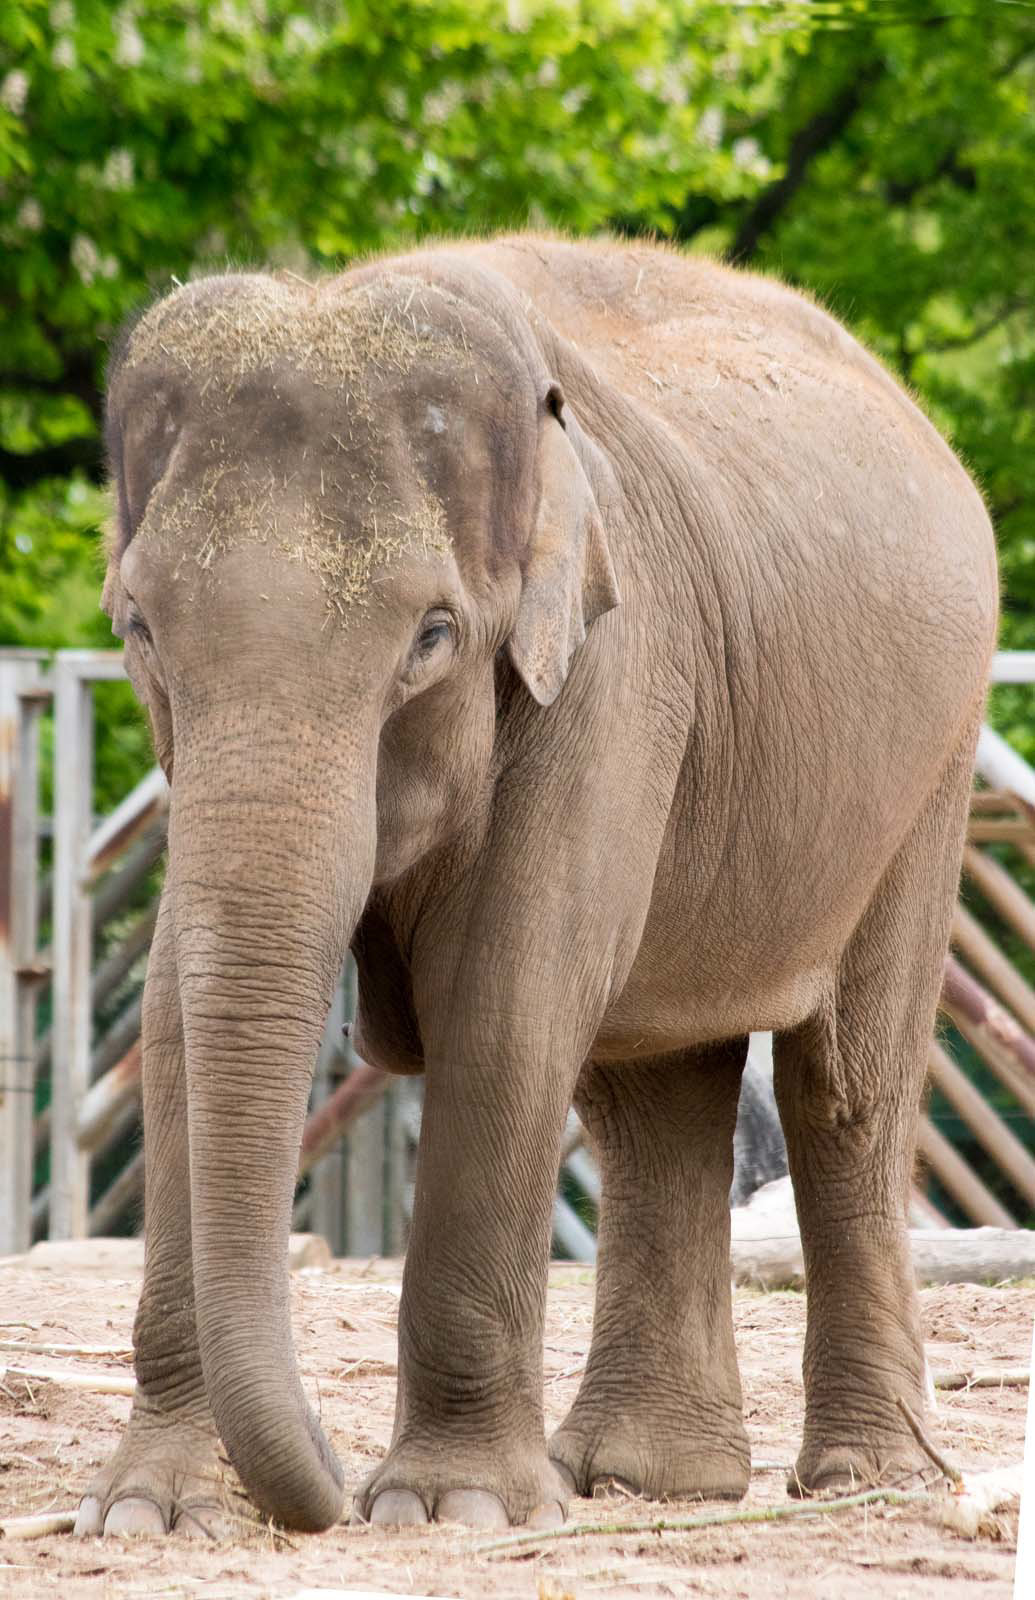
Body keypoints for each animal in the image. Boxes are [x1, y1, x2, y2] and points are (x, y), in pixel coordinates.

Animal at [76, 233, 998, 1536]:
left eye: (432, 636)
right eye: (140, 626)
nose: (327, 1480)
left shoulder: (613, 670)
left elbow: (505, 1006)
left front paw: (447, 1508)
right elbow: (170, 1013)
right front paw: (151, 1511)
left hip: (929, 766)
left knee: (844, 1087)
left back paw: (869, 1481)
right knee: (653, 1092)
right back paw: (647, 1479)